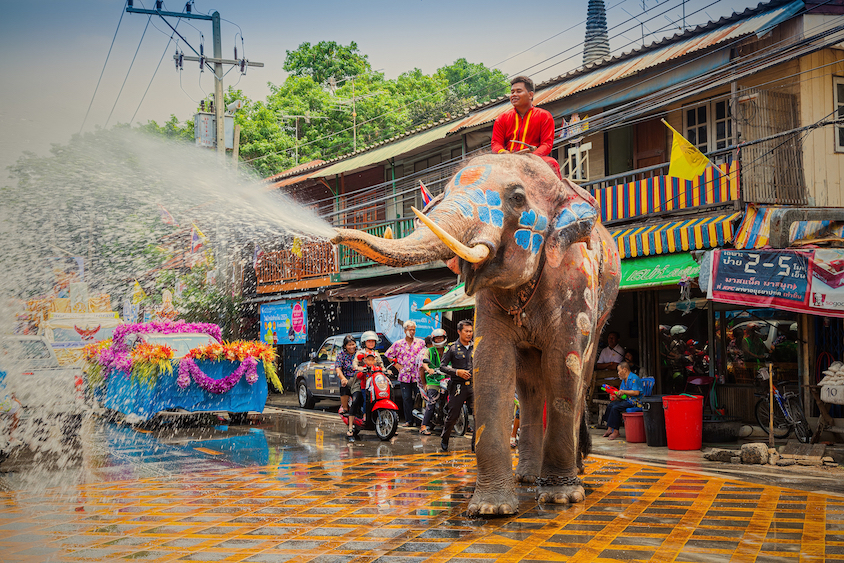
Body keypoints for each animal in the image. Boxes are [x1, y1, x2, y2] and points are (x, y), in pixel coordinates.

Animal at [332, 153, 620, 516]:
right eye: (445, 192)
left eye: (517, 198)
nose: (332, 236)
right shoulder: (489, 300)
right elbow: (492, 363)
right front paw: (490, 509)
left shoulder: (575, 280)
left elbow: (563, 364)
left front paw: (561, 498)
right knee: (528, 384)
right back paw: (527, 477)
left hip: (604, 305)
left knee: (578, 376)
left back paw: (572, 473)